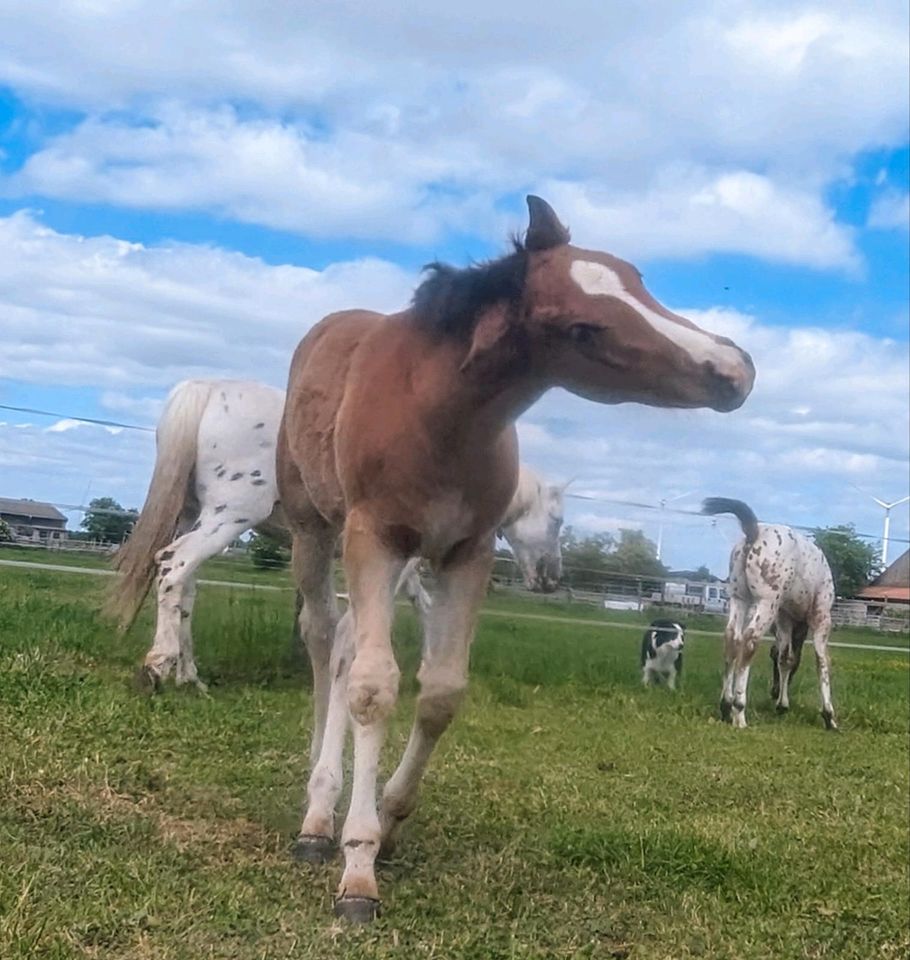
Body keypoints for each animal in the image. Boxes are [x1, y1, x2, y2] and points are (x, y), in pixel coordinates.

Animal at [110, 376, 568, 688]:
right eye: (558, 520)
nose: (552, 578)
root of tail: (209, 389)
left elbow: (418, 606)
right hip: (229, 517)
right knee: (174, 566)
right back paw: (159, 664)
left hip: (193, 516)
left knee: (185, 586)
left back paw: (190, 676)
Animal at [280, 197, 756, 924]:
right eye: (582, 329)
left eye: (638, 277)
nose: (733, 369)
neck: (437, 415)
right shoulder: (376, 540)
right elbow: (372, 688)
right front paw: (357, 868)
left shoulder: (465, 554)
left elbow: (440, 691)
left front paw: (388, 825)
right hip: (316, 529)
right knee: (324, 641)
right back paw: (314, 815)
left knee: (343, 650)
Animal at [704, 498, 840, 732]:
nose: (774, 693)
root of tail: (754, 532)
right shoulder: (821, 617)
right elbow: (821, 661)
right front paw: (828, 715)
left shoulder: (784, 619)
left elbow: (785, 658)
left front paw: (782, 704)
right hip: (766, 602)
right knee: (749, 640)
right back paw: (739, 712)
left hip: (739, 599)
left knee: (732, 638)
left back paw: (726, 705)